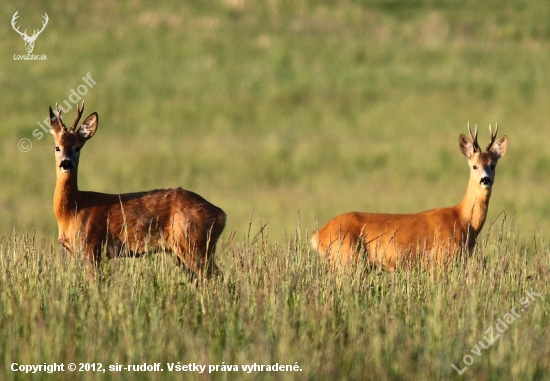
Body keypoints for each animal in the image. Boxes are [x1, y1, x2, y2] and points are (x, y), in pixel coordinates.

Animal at [49, 102, 226, 278]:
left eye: (77, 148)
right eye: (57, 148)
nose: (66, 163)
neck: (73, 209)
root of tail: (221, 215)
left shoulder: (91, 246)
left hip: (193, 243)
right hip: (182, 251)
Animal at [312, 123, 512, 268]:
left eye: (493, 165)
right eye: (474, 166)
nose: (485, 180)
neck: (463, 221)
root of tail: (318, 234)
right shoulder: (440, 258)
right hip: (345, 258)